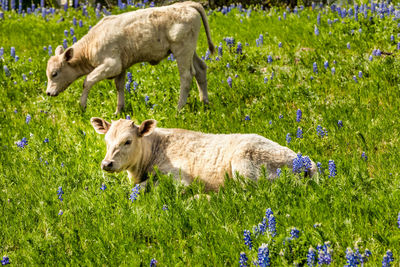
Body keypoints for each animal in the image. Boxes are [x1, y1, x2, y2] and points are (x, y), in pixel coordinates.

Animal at [45, 0, 214, 113]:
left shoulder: (112, 65)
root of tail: (187, 4)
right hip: (190, 51)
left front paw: (82, 106)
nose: (47, 93)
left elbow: (88, 80)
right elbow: (119, 87)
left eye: (54, 74)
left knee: (186, 76)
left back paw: (179, 108)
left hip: (182, 50)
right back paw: (205, 102)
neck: (92, 43)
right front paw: (118, 111)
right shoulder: (121, 67)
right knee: (200, 69)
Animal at [90, 118, 316, 192]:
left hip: (245, 168)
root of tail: (306, 163)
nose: (106, 164)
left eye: (127, 141)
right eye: (106, 141)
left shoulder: (179, 178)